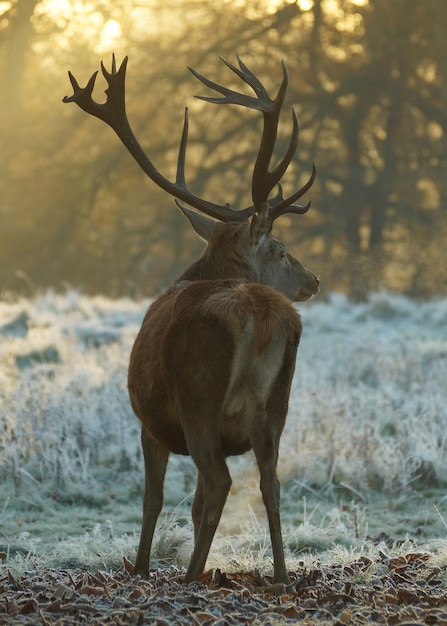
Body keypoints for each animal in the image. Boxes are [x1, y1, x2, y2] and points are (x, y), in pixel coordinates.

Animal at [65, 54, 320, 584]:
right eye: (282, 249)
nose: (315, 279)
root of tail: (260, 314)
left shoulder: (149, 421)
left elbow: (154, 497)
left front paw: (141, 567)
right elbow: (194, 502)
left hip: (197, 396)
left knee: (219, 481)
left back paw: (190, 577)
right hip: (277, 406)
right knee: (268, 481)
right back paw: (280, 575)